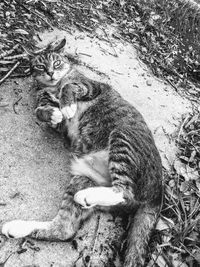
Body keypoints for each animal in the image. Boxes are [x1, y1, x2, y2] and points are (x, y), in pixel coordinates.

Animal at [1, 38, 162, 266]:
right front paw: (51, 112)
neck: (53, 86)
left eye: (57, 62)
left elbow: (69, 86)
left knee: (125, 192)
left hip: (122, 136)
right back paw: (18, 227)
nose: (51, 72)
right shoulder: (58, 123)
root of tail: (159, 192)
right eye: (40, 65)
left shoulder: (90, 86)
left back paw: (87, 196)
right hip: (83, 178)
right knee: (64, 229)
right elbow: (40, 111)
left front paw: (66, 104)